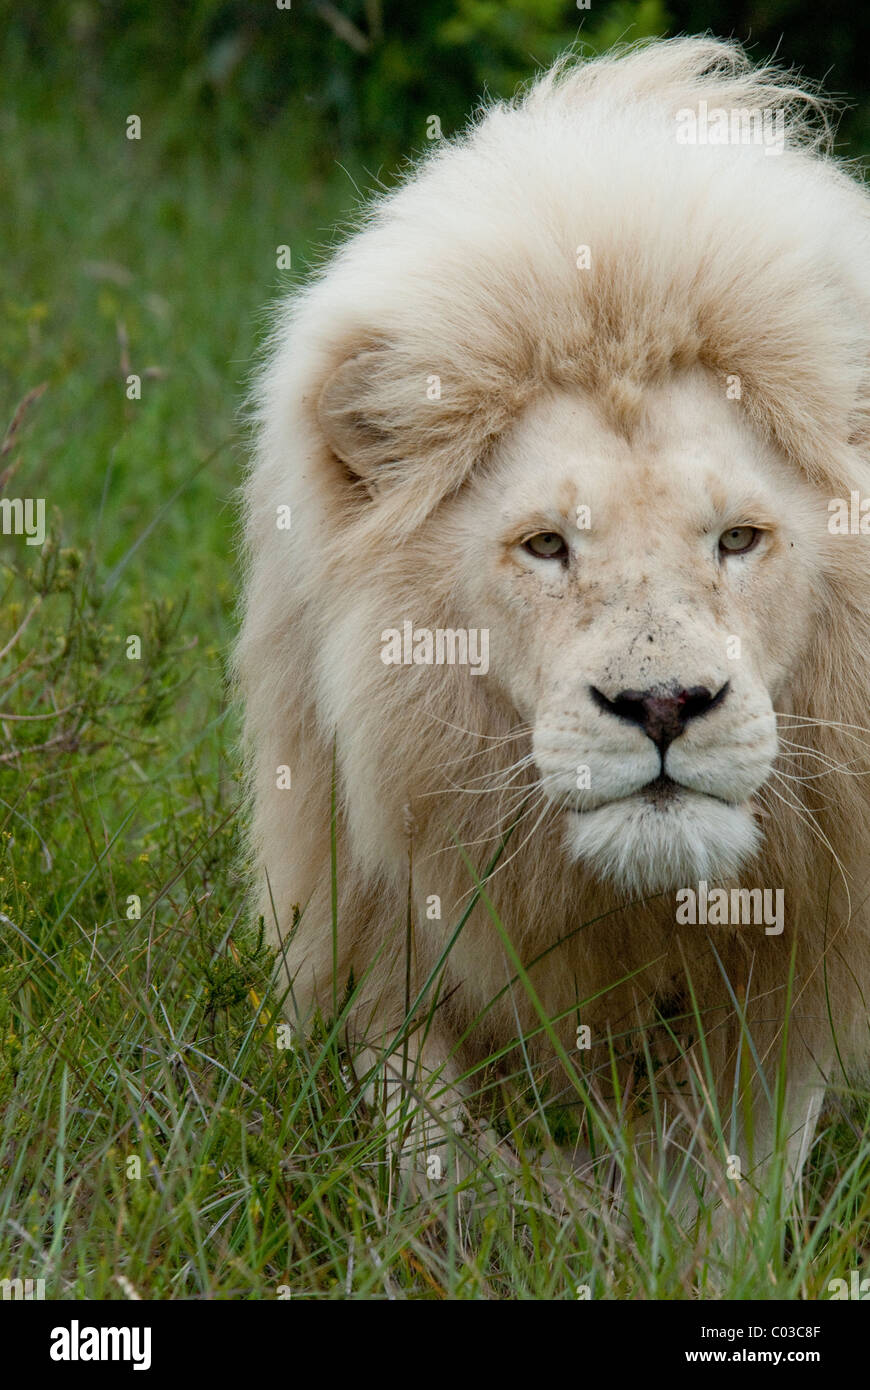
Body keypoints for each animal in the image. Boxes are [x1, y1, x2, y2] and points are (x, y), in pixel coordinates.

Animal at [234, 38, 870, 1212]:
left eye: (739, 539)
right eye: (544, 546)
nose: (662, 706)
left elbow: (743, 1183)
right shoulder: (369, 934)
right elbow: (432, 1146)